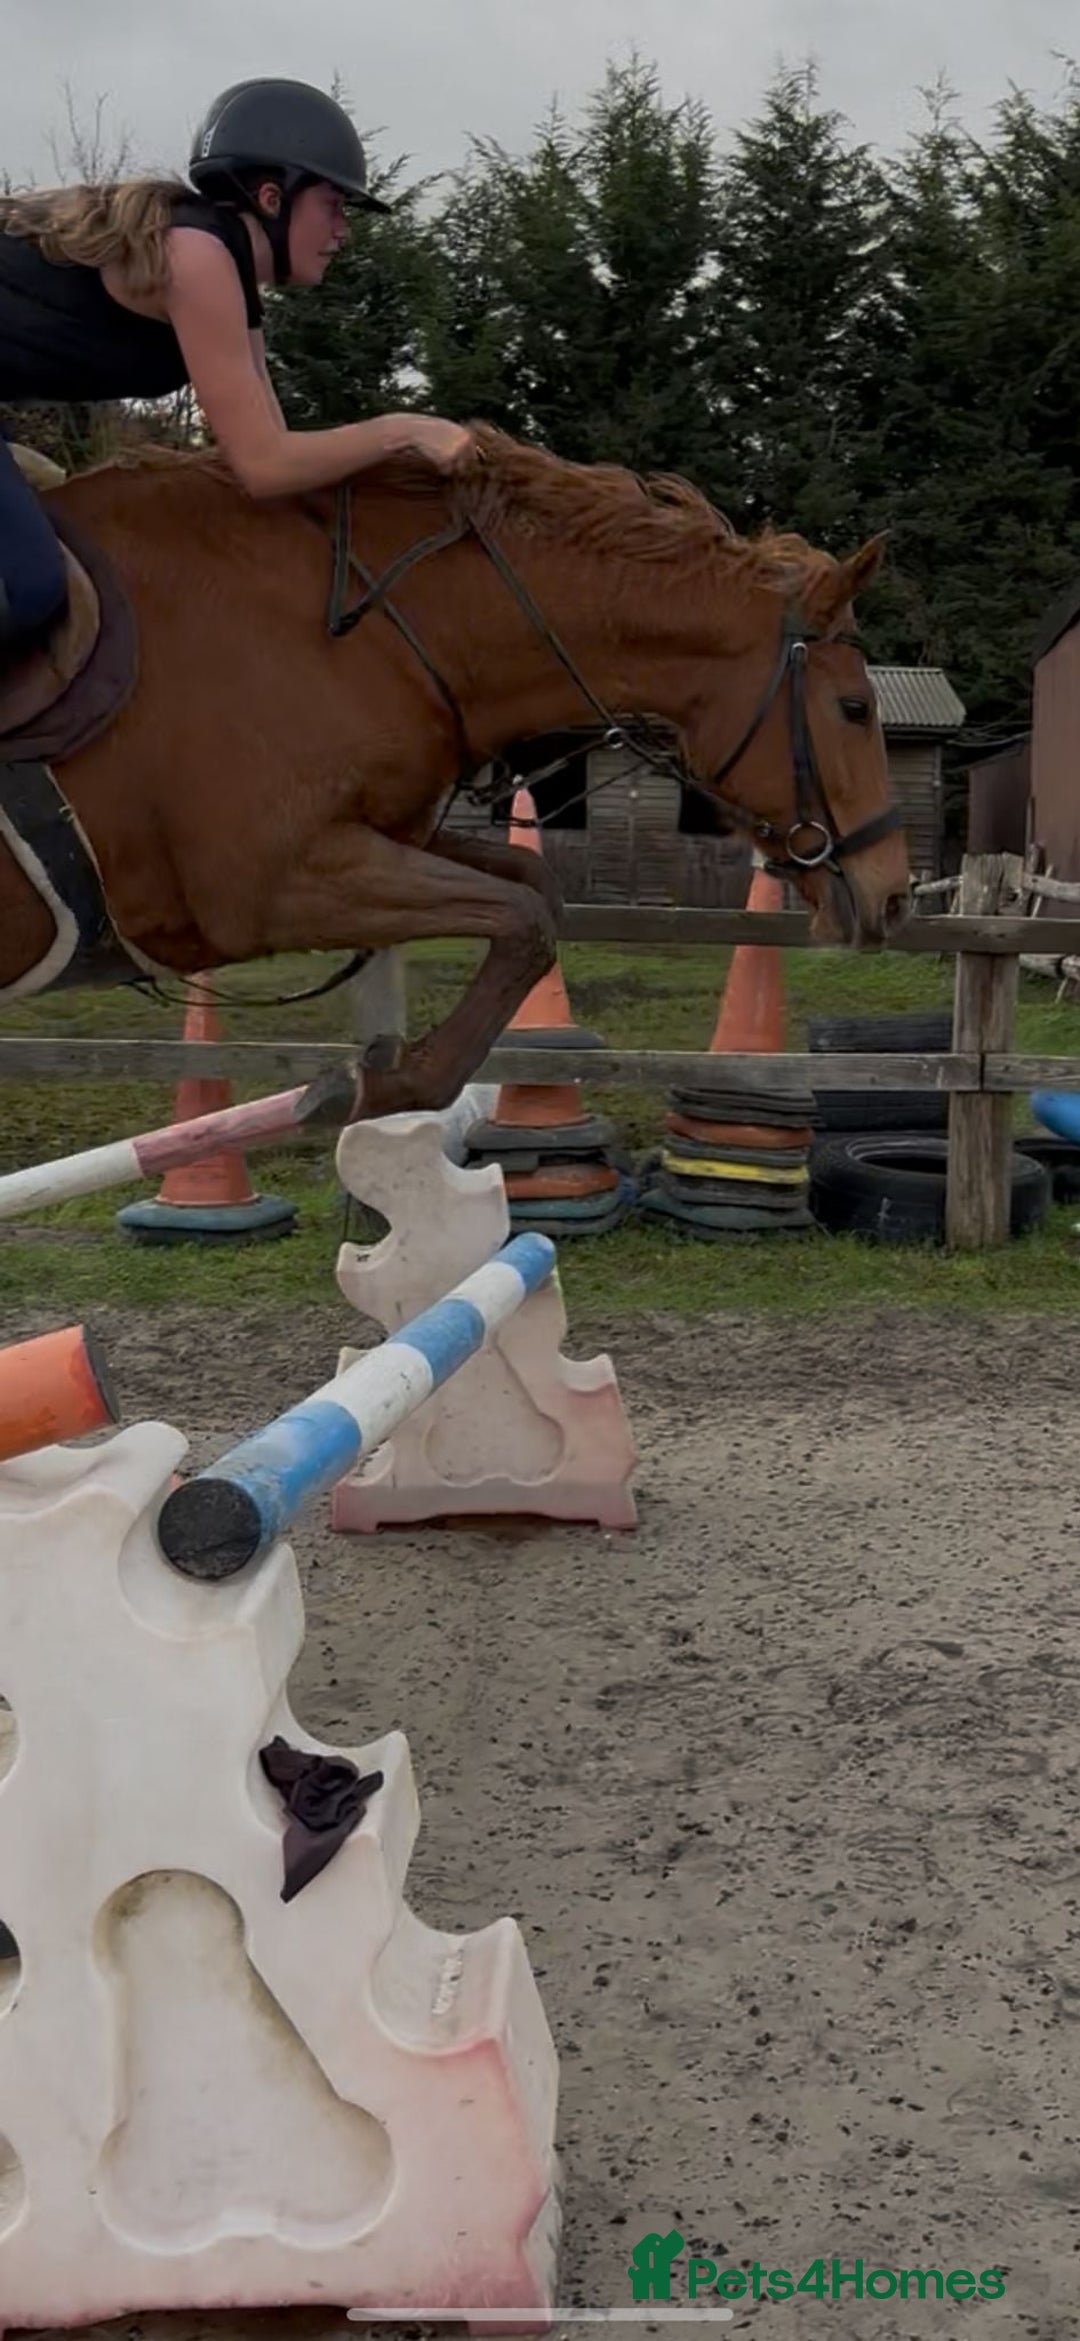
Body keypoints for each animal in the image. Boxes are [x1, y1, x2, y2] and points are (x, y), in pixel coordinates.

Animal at [0, 424, 910, 1118]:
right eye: (853, 708)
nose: (893, 897)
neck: (351, 631)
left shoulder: (380, 836)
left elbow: (532, 893)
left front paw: (387, 1072)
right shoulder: (268, 885)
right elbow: (524, 918)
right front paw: (377, 1083)